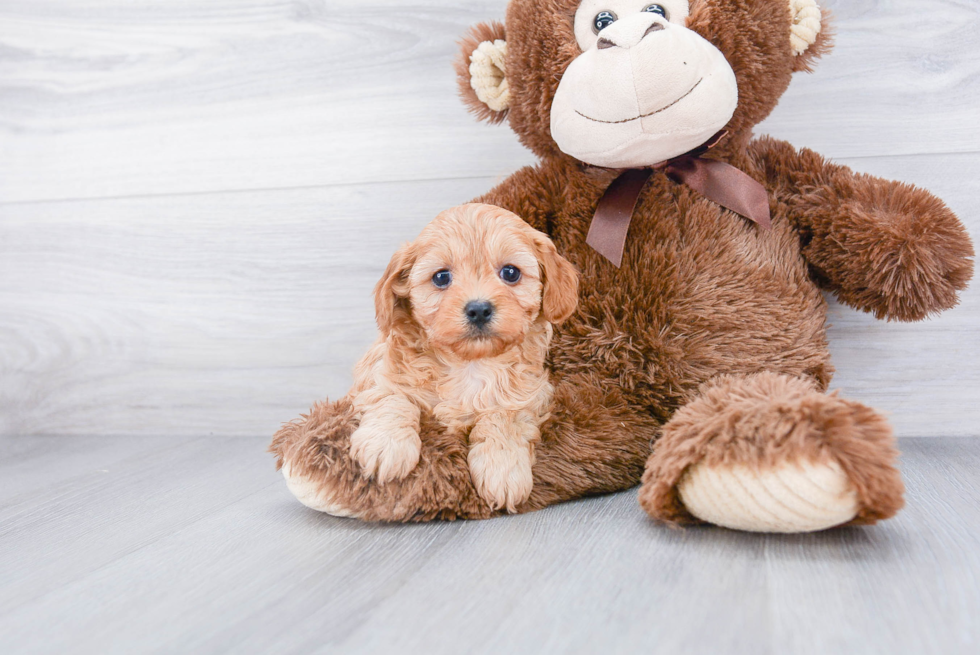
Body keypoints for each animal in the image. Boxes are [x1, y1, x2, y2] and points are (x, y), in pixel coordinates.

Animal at [348, 202, 580, 510]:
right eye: (441, 277)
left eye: (511, 273)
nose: (479, 309)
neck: (469, 364)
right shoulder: (378, 374)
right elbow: (393, 398)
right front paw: (385, 445)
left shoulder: (530, 396)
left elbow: (504, 418)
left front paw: (502, 468)